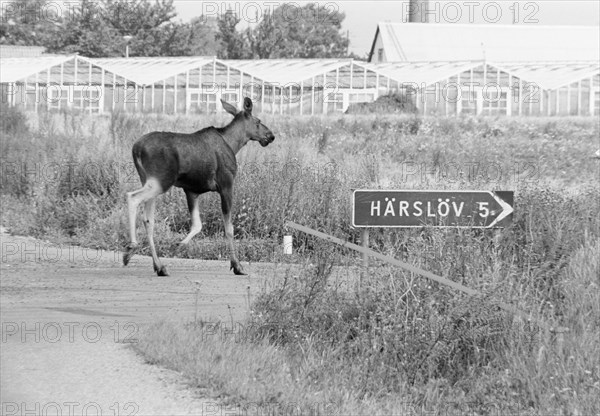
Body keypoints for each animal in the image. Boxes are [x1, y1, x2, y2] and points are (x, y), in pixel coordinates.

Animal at [122, 97, 276, 276]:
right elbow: (229, 228)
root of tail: (136, 149)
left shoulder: (191, 191)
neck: (234, 143)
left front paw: (178, 245)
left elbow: (197, 225)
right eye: (258, 121)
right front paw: (237, 265)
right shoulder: (226, 185)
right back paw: (131, 248)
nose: (271, 136)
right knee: (132, 197)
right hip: (161, 181)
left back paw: (159, 266)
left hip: (148, 180)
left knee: (148, 219)